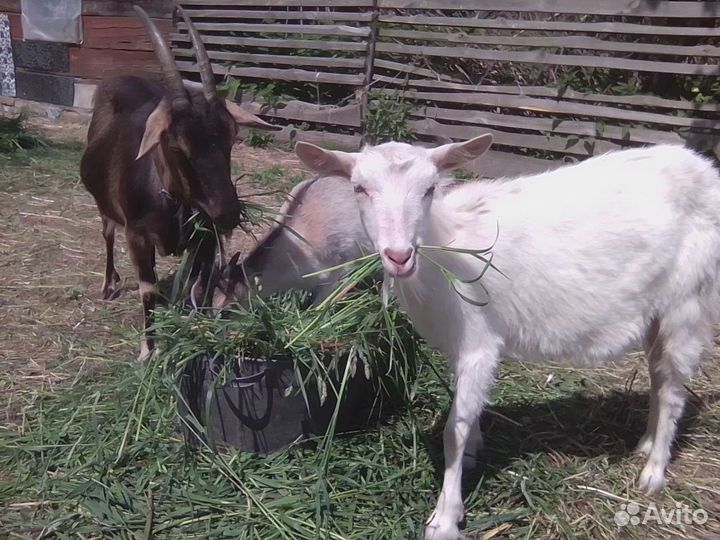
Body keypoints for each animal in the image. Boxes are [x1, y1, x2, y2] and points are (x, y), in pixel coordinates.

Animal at [80, 5, 275, 359]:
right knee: (107, 234)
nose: (228, 213)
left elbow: (200, 285)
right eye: (175, 144)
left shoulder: (205, 236)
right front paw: (148, 351)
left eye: (231, 135)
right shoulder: (137, 235)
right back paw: (109, 284)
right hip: (104, 207)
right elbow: (147, 290)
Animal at [295, 136, 720, 540]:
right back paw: (644, 443)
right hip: (656, 314)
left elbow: (454, 430)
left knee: (673, 389)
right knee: (659, 376)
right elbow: (466, 410)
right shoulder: (459, 343)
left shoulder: (480, 340)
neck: (446, 251)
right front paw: (472, 454)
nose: (399, 255)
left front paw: (445, 518)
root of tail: (704, 170)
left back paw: (653, 472)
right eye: (359, 188)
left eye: (430, 188)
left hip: (687, 301)